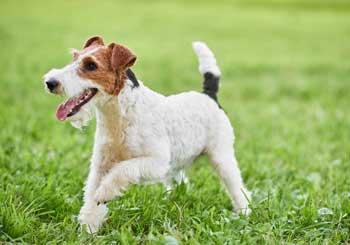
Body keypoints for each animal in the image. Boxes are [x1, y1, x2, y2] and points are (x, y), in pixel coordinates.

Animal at [44, 36, 252, 234]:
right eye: (74, 57)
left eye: (91, 65)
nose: (50, 82)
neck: (120, 115)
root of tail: (209, 95)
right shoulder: (100, 165)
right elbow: (91, 203)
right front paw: (87, 231)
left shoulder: (156, 162)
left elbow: (123, 170)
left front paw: (105, 193)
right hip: (177, 162)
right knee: (181, 182)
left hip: (221, 157)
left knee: (238, 189)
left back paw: (244, 212)